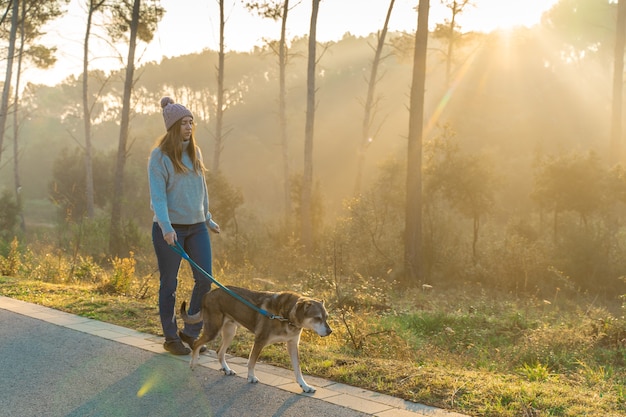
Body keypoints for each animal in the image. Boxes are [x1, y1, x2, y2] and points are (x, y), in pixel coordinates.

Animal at [179, 284, 332, 392]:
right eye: (317, 318)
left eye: (326, 317)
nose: (330, 331)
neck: (286, 316)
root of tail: (208, 294)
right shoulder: (259, 341)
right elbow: (252, 362)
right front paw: (251, 377)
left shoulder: (293, 344)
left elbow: (298, 368)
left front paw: (304, 385)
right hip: (213, 330)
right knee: (197, 343)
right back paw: (193, 362)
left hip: (230, 332)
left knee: (219, 352)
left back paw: (226, 369)